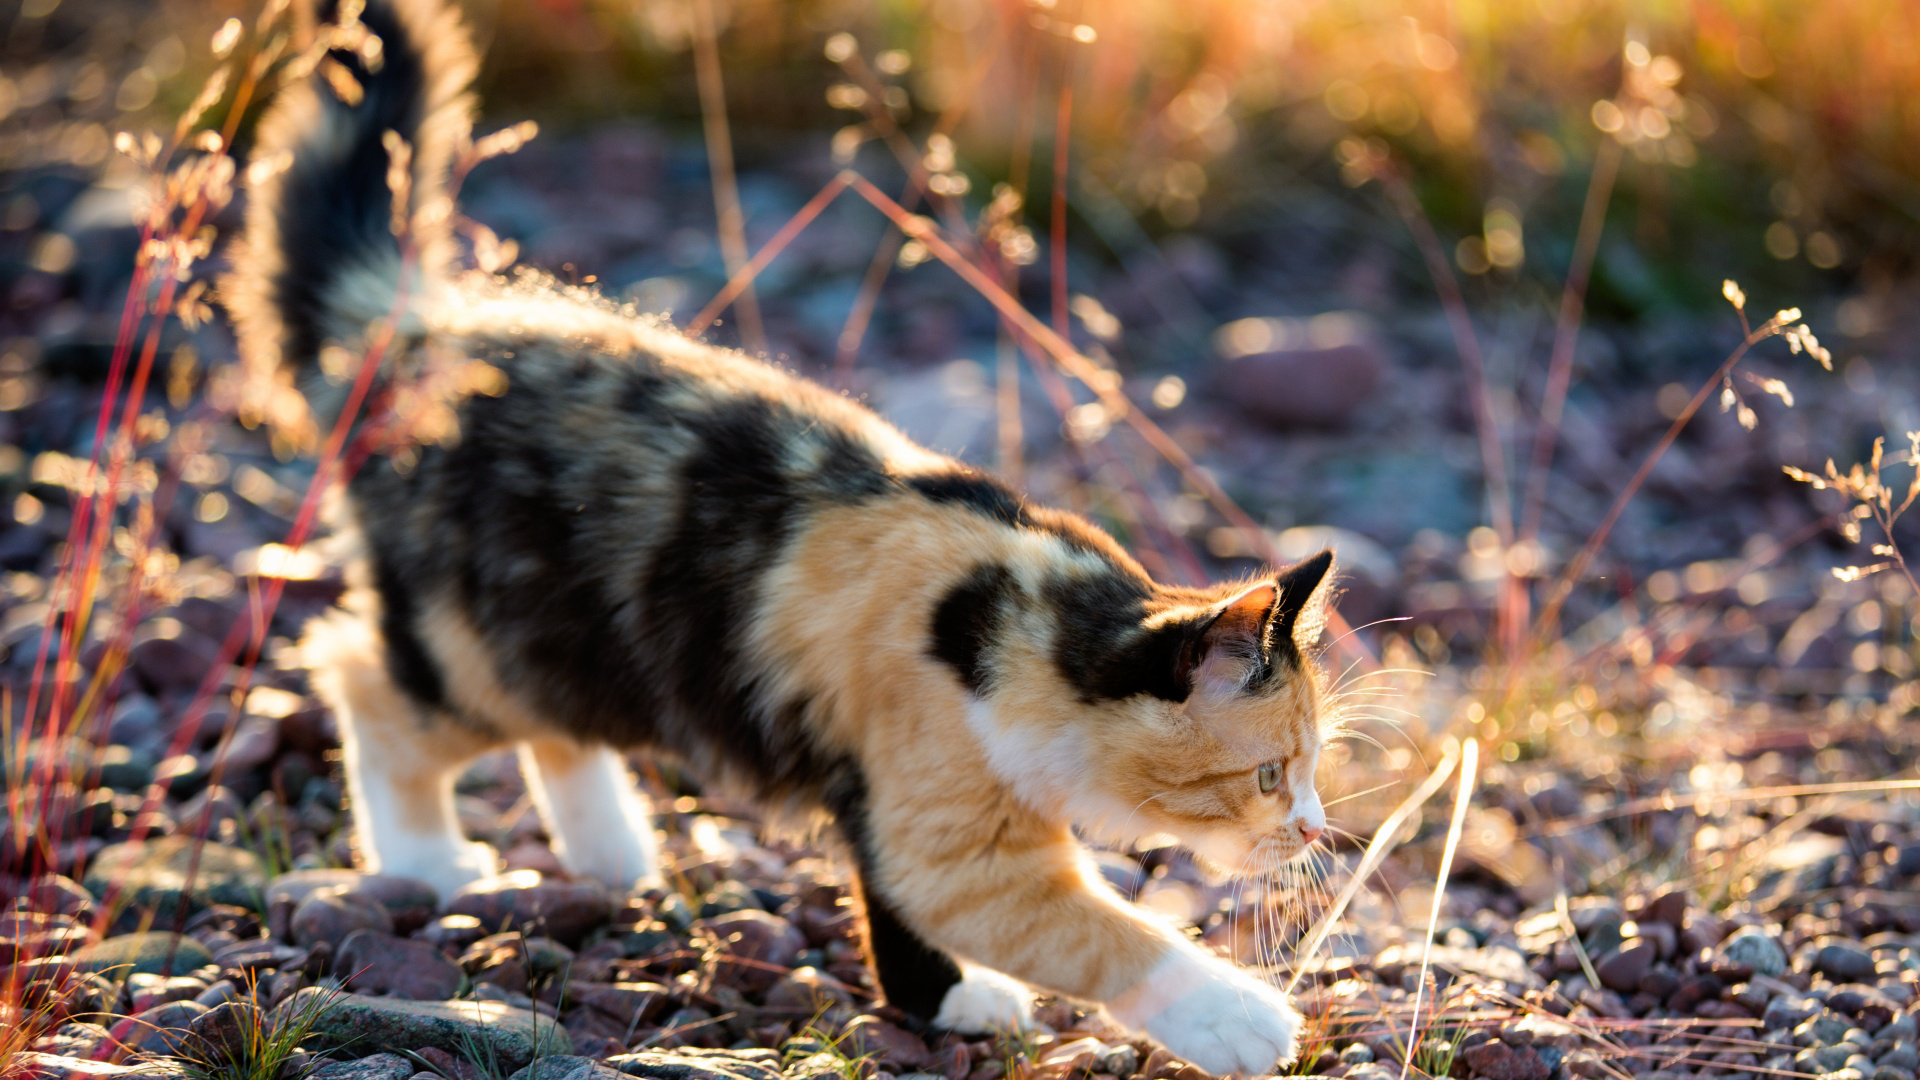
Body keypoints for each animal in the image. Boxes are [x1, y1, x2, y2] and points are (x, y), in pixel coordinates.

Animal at [224, 0, 1336, 1060]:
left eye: (1314, 769)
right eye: (1269, 775)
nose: (1321, 831)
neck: (1028, 626)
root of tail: (413, 334)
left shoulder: (895, 801)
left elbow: (898, 910)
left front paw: (948, 999)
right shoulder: (944, 831)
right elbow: (1098, 933)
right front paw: (1237, 1017)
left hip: (559, 637)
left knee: (549, 725)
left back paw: (610, 850)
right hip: (474, 647)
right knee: (360, 678)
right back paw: (425, 857)